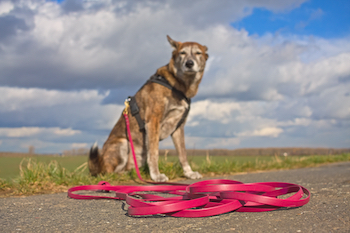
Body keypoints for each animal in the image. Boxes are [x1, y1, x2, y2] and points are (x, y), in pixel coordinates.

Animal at [89, 35, 209, 182]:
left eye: (198, 53)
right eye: (182, 53)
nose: (189, 64)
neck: (177, 85)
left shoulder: (178, 128)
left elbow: (182, 154)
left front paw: (189, 173)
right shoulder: (153, 121)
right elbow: (154, 153)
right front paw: (156, 175)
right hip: (123, 142)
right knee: (109, 172)